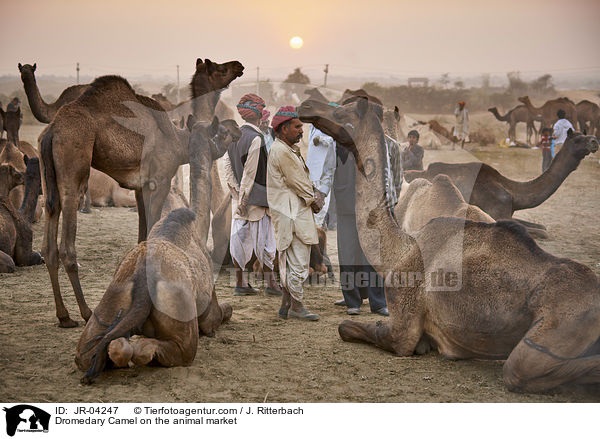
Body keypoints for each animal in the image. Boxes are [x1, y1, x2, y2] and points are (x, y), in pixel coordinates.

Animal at [39, 57, 244, 326]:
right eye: (220, 68)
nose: (239, 66)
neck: (179, 139)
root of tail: (51, 132)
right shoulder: (159, 180)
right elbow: (151, 227)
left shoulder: (139, 186)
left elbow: (141, 233)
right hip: (73, 165)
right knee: (67, 246)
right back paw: (85, 312)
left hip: (48, 179)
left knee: (49, 240)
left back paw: (64, 316)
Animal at [72, 117, 237, 384]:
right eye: (222, 133)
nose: (237, 130)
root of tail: (141, 280)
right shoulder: (209, 312)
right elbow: (226, 311)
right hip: (182, 326)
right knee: (149, 349)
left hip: (105, 310)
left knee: (91, 352)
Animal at [300, 98, 600, 394]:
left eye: (342, 111)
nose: (306, 105)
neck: (400, 250)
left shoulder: (402, 324)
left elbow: (347, 327)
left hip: (554, 330)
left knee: (519, 369)